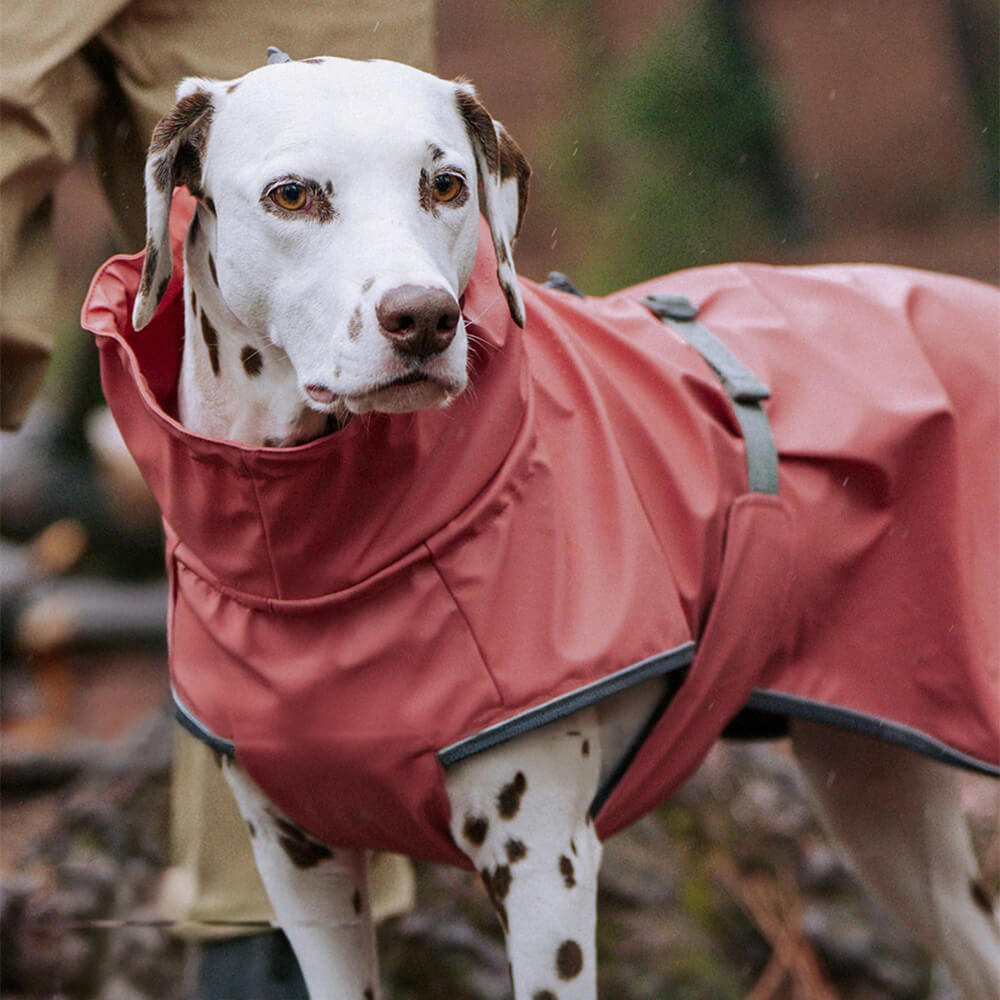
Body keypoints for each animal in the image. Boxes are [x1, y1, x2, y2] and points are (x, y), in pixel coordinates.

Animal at [129, 54, 996, 1000]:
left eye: (445, 184)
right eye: (291, 195)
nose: (424, 318)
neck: (323, 565)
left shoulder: (544, 868)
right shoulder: (303, 875)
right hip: (884, 808)